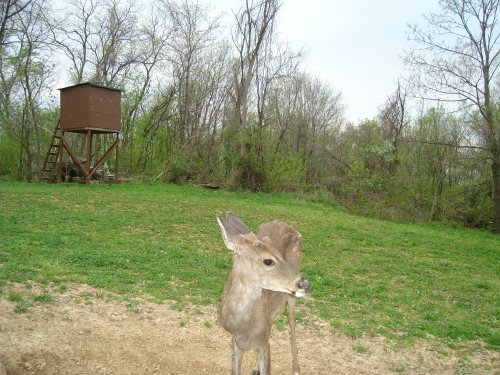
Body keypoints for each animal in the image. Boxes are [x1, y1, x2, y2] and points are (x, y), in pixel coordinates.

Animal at [218, 212, 310, 375]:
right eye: (268, 261)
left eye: (280, 255)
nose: (305, 284)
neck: (243, 327)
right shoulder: (235, 341)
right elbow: (236, 369)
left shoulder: (264, 344)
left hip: (290, 296)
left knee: (291, 317)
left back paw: (296, 369)